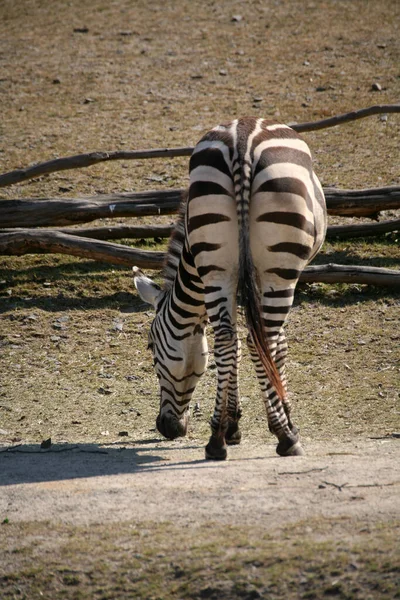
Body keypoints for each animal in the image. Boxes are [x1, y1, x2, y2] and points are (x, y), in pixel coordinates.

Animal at [133, 118, 326, 464]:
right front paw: (283, 417)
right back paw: (285, 437)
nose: (167, 428)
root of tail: (242, 141)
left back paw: (216, 441)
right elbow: (277, 346)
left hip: (216, 260)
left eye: (150, 347)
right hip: (279, 268)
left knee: (227, 339)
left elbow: (233, 344)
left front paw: (230, 425)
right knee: (261, 339)